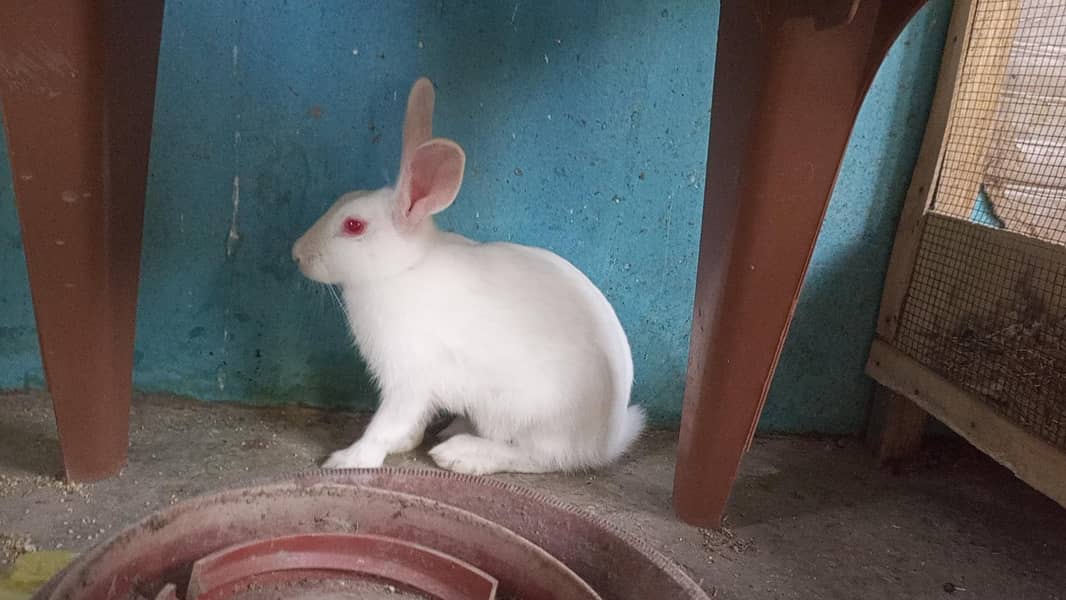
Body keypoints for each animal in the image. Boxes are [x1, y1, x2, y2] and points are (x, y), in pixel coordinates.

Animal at [291, 77, 644, 475]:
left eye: (353, 225)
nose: (297, 254)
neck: (402, 268)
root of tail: (605, 441)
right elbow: (410, 424)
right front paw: (405, 443)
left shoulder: (409, 380)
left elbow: (388, 423)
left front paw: (348, 459)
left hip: (519, 412)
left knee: (538, 456)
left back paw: (461, 454)